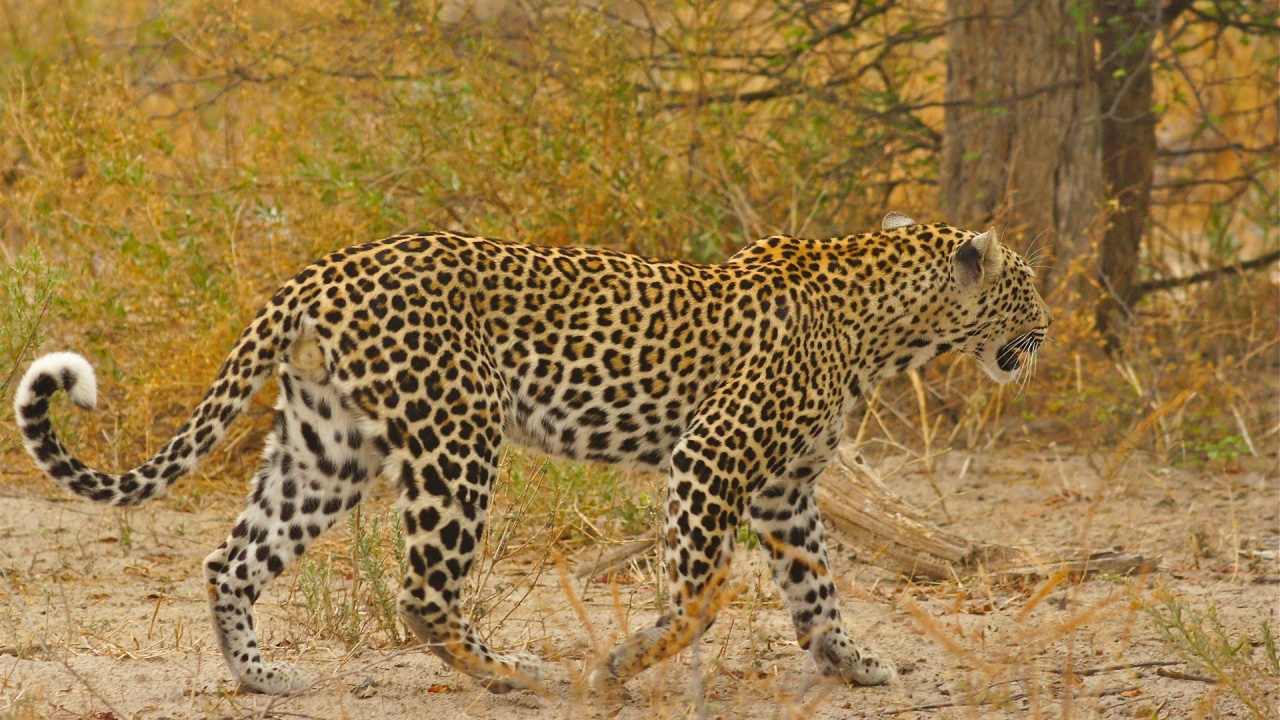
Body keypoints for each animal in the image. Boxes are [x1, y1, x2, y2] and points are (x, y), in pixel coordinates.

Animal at [14, 212, 1050, 697]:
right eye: (1030, 290)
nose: (1046, 335)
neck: (889, 327)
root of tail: (319, 269)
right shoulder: (711, 458)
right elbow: (704, 594)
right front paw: (623, 666)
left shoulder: (786, 490)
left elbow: (817, 586)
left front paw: (851, 662)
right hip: (458, 432)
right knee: (423, 592)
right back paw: (520, 677)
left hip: (327, 447)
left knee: (231, 558)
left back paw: (262, 678)